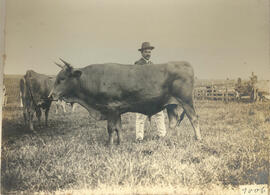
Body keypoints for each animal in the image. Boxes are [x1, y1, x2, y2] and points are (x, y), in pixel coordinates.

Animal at [49, 58, 200, 145]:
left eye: (62, 78)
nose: (51, 95)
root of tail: (184, 63)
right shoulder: (117, 110)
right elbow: (118, 127)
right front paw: (120, 143)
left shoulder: (111, 107)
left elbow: (111, 128)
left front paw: (109, 145)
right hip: (171, 104)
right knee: (173, 122)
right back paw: (169, 140)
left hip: (186, 101)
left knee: (194, 119)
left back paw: (198, 139)